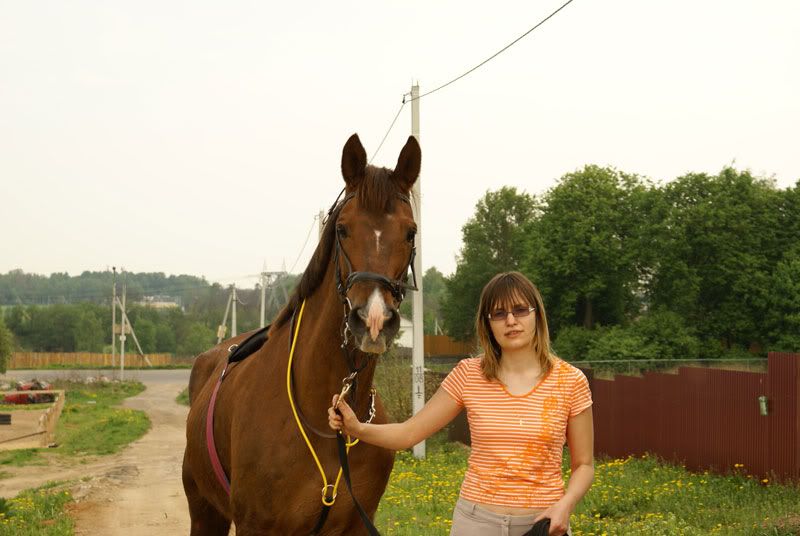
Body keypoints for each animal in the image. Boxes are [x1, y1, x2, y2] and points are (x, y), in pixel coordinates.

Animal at [180, 132, 418, 532]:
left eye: (411, 233)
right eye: (341, 229)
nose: (372, 320)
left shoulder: (358, 524)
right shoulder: (255, 526)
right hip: (205, 511)